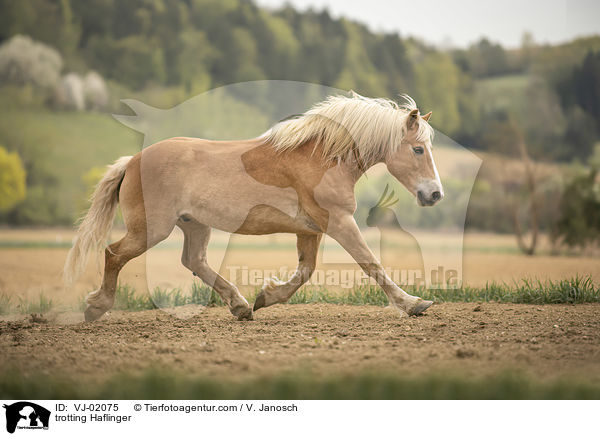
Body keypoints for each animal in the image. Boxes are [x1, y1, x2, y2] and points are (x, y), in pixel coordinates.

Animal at [64, 93, 440, 324]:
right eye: (418, 149)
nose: (435, 194)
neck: (320, 157)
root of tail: (132, 161)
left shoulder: (310, 229)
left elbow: (305, 271)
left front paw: (266, 296)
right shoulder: (338, 221)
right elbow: (370, 263)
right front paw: (413, 303)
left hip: (194, 224)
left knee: (194, 261)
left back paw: (241, 306)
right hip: (151, 229)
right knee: (113, 253)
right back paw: (96, 307)